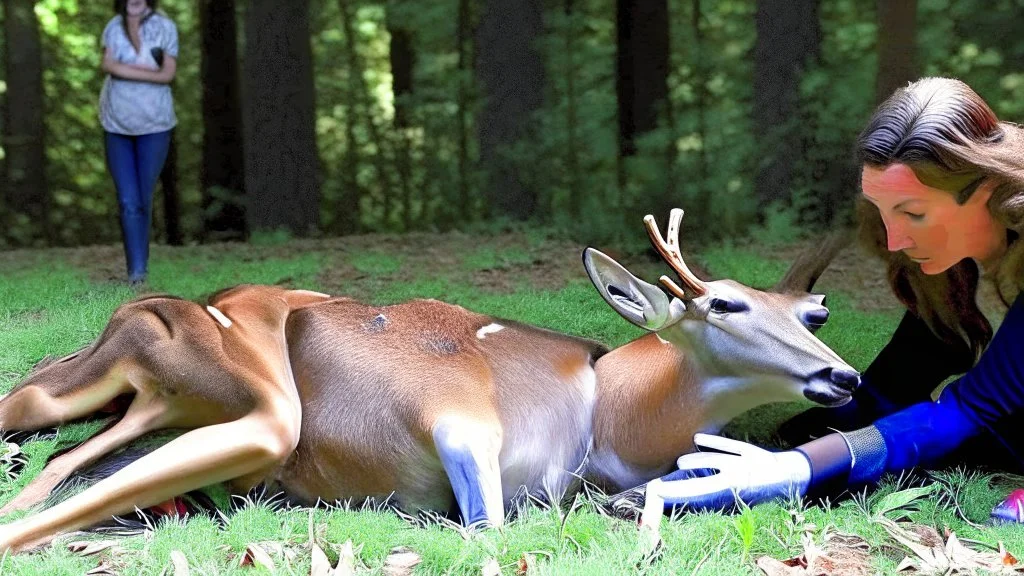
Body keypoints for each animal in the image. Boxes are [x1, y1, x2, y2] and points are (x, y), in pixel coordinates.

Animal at [0, 207, 856, 553]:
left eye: (812, 312)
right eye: (724, 302)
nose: (842, 374)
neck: (602, 416)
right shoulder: (459, 418)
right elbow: (488, 525)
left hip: (152, 401)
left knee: (61, 454)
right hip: (255, 409)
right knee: (49, 464)